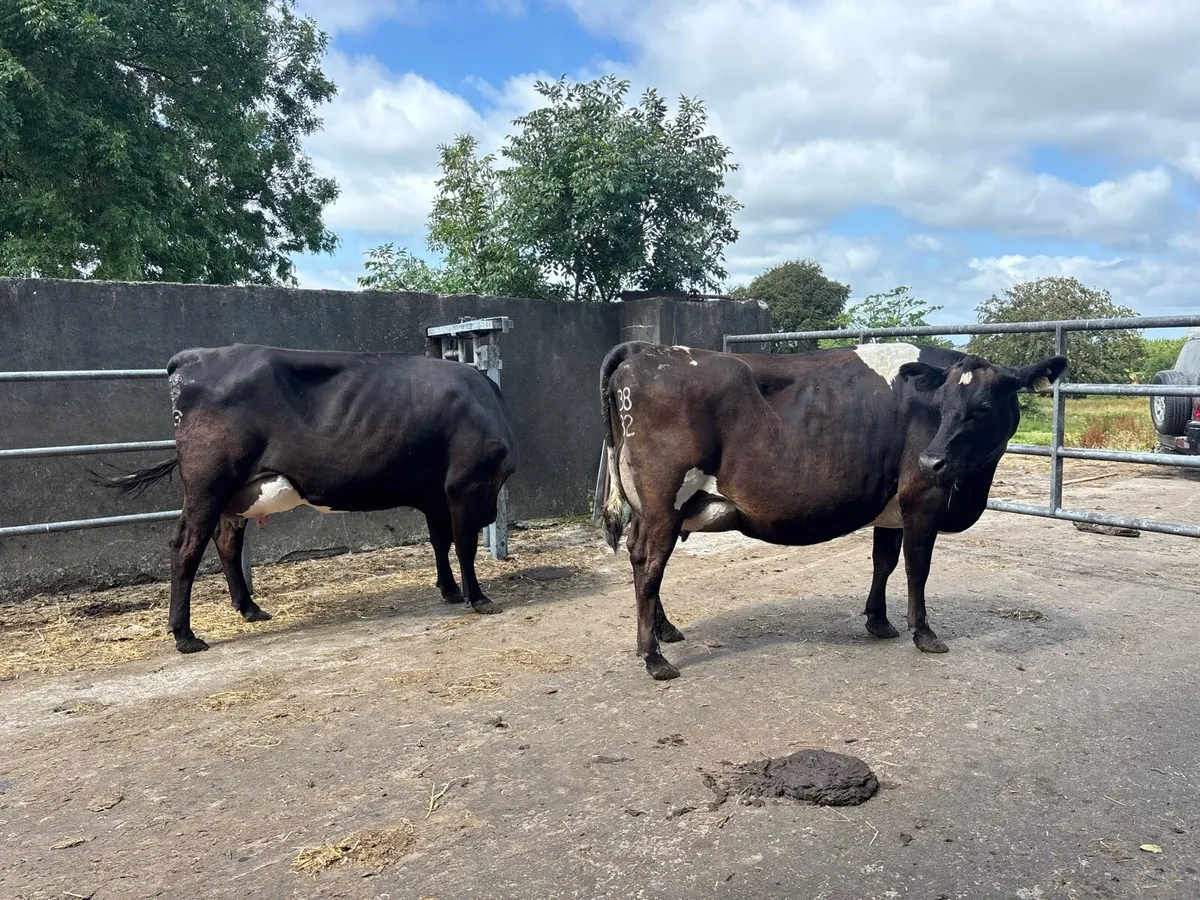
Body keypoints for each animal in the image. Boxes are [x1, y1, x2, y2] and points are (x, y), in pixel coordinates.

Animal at [96, 343, 518, 654]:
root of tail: (191, 356)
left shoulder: (435, 494)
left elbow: (440, 541)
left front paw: (449, 590)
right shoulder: (466, 484)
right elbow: (464, 544)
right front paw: (478, 597)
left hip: (234, 495)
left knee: (227, 541)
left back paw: (250, 609)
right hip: (206, 485)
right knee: (186, 546)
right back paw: (185, 636)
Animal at [598, 340, 1067, 681]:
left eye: (984, 407)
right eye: (941, 406)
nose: (932, 460)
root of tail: (645, 352)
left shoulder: (891, 509)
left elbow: (884, 562)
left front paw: (878, 621)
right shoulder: (923, 500)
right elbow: (917, 567)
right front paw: (924, 633)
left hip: (650, 508)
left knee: (642, 560)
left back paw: (664, 631)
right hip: (664, 501)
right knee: (650, 564)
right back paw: (654, 657)